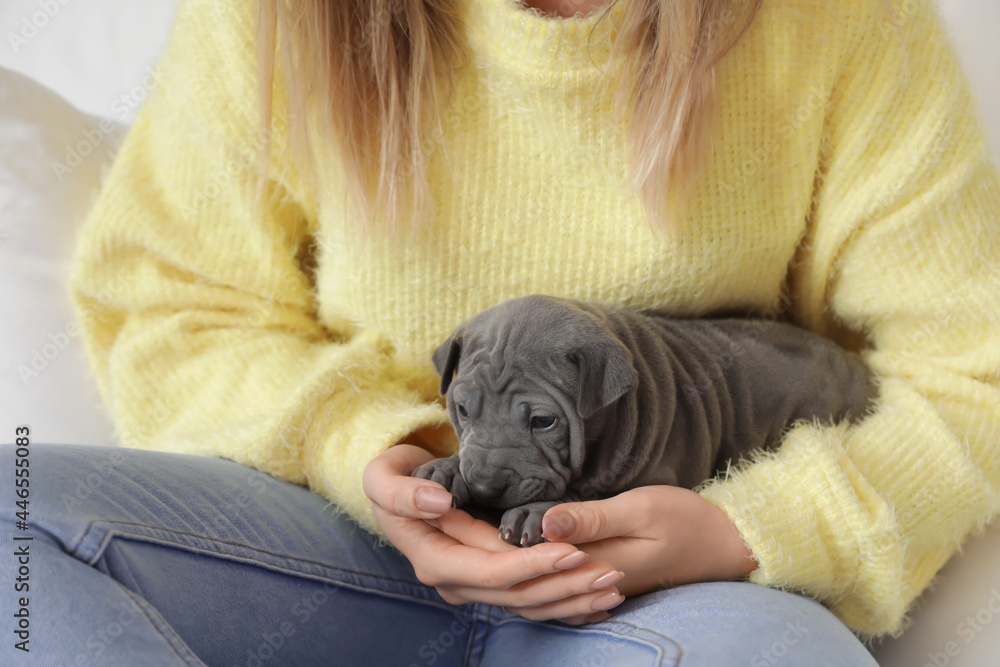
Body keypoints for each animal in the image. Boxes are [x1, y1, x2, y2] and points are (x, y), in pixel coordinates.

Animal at [412, 296, 876, 548]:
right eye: (463, 410)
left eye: (543, 421)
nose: (485, 486)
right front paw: (446, 469)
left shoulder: (661, 477)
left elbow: (599, 495)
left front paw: (537, 513)